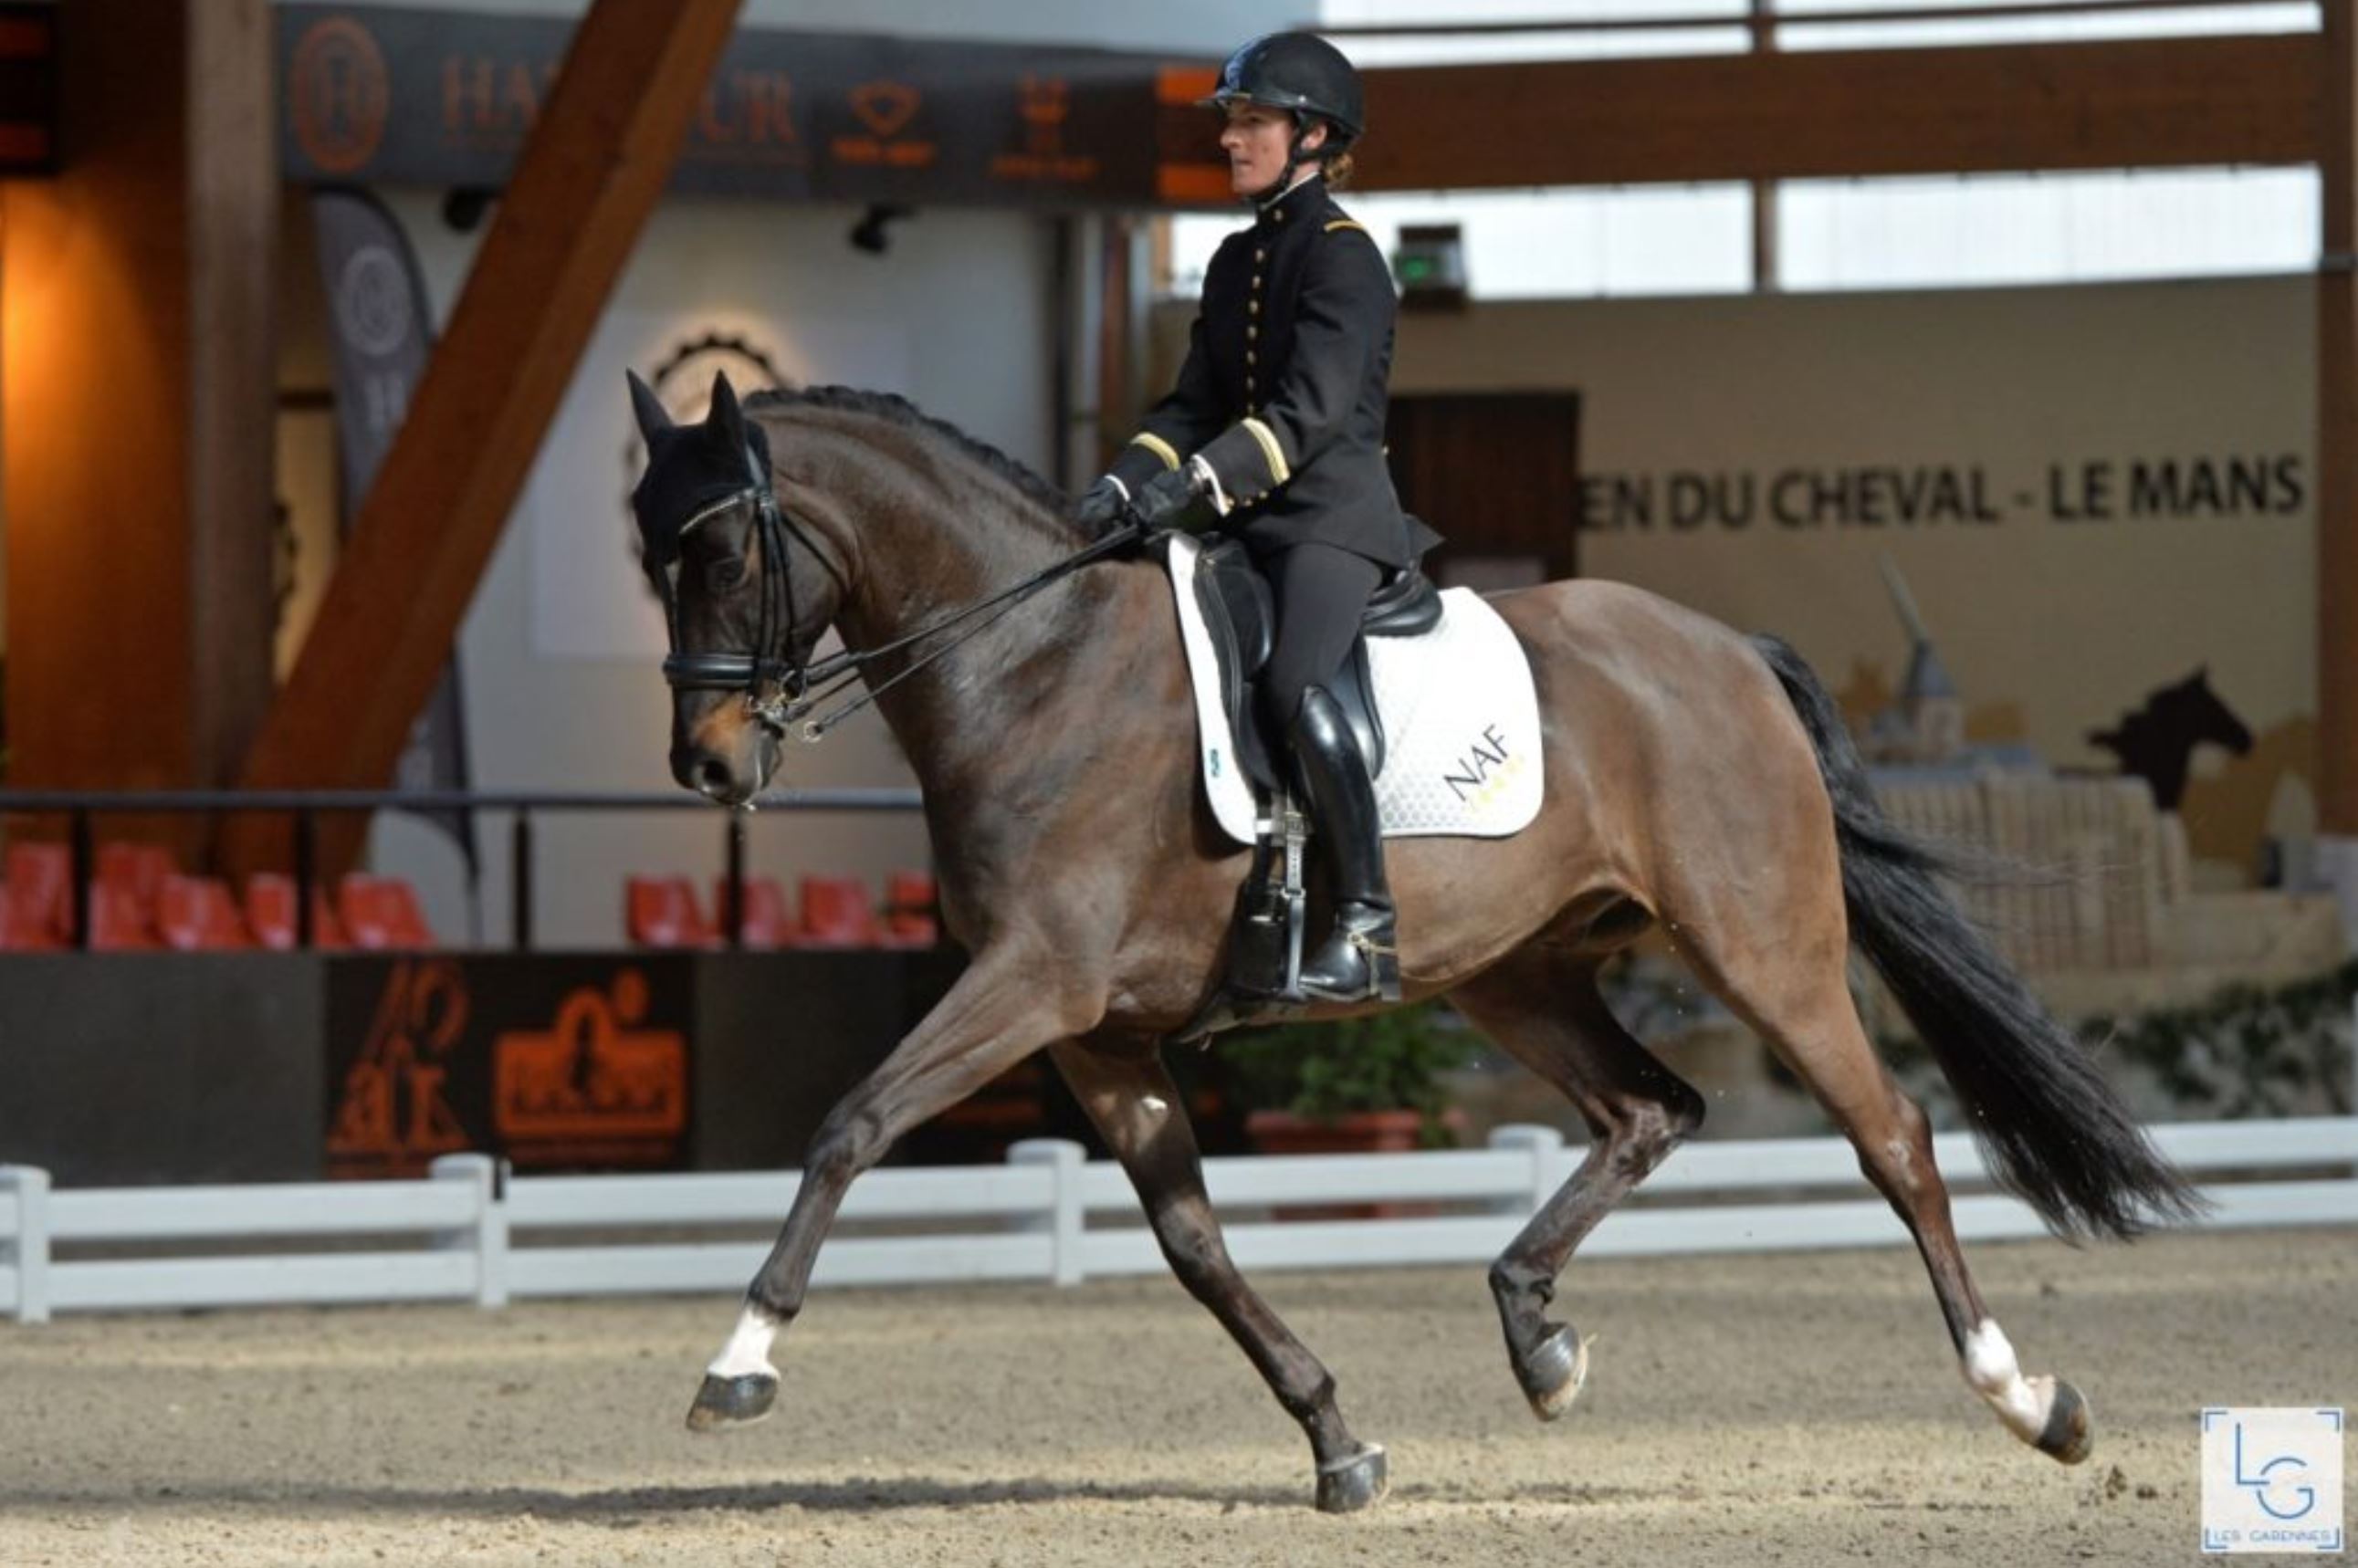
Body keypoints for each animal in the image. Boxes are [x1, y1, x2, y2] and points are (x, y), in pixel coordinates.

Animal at [622, 372, 2188, 1509]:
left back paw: (2030, 1399)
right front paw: (1336, 1440)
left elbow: (852, 1120)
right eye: (649, 555)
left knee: (1893, 1140)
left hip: (1763, 948)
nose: (705, 764)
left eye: (721, 550)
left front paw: (736, 1363)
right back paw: (1536, 1338)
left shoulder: (1031, 983)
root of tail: (1728, 652)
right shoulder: (1099, 1033)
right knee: (1651, 1108)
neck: (1033, 662)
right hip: (1515, 973)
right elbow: (1191, 1240)